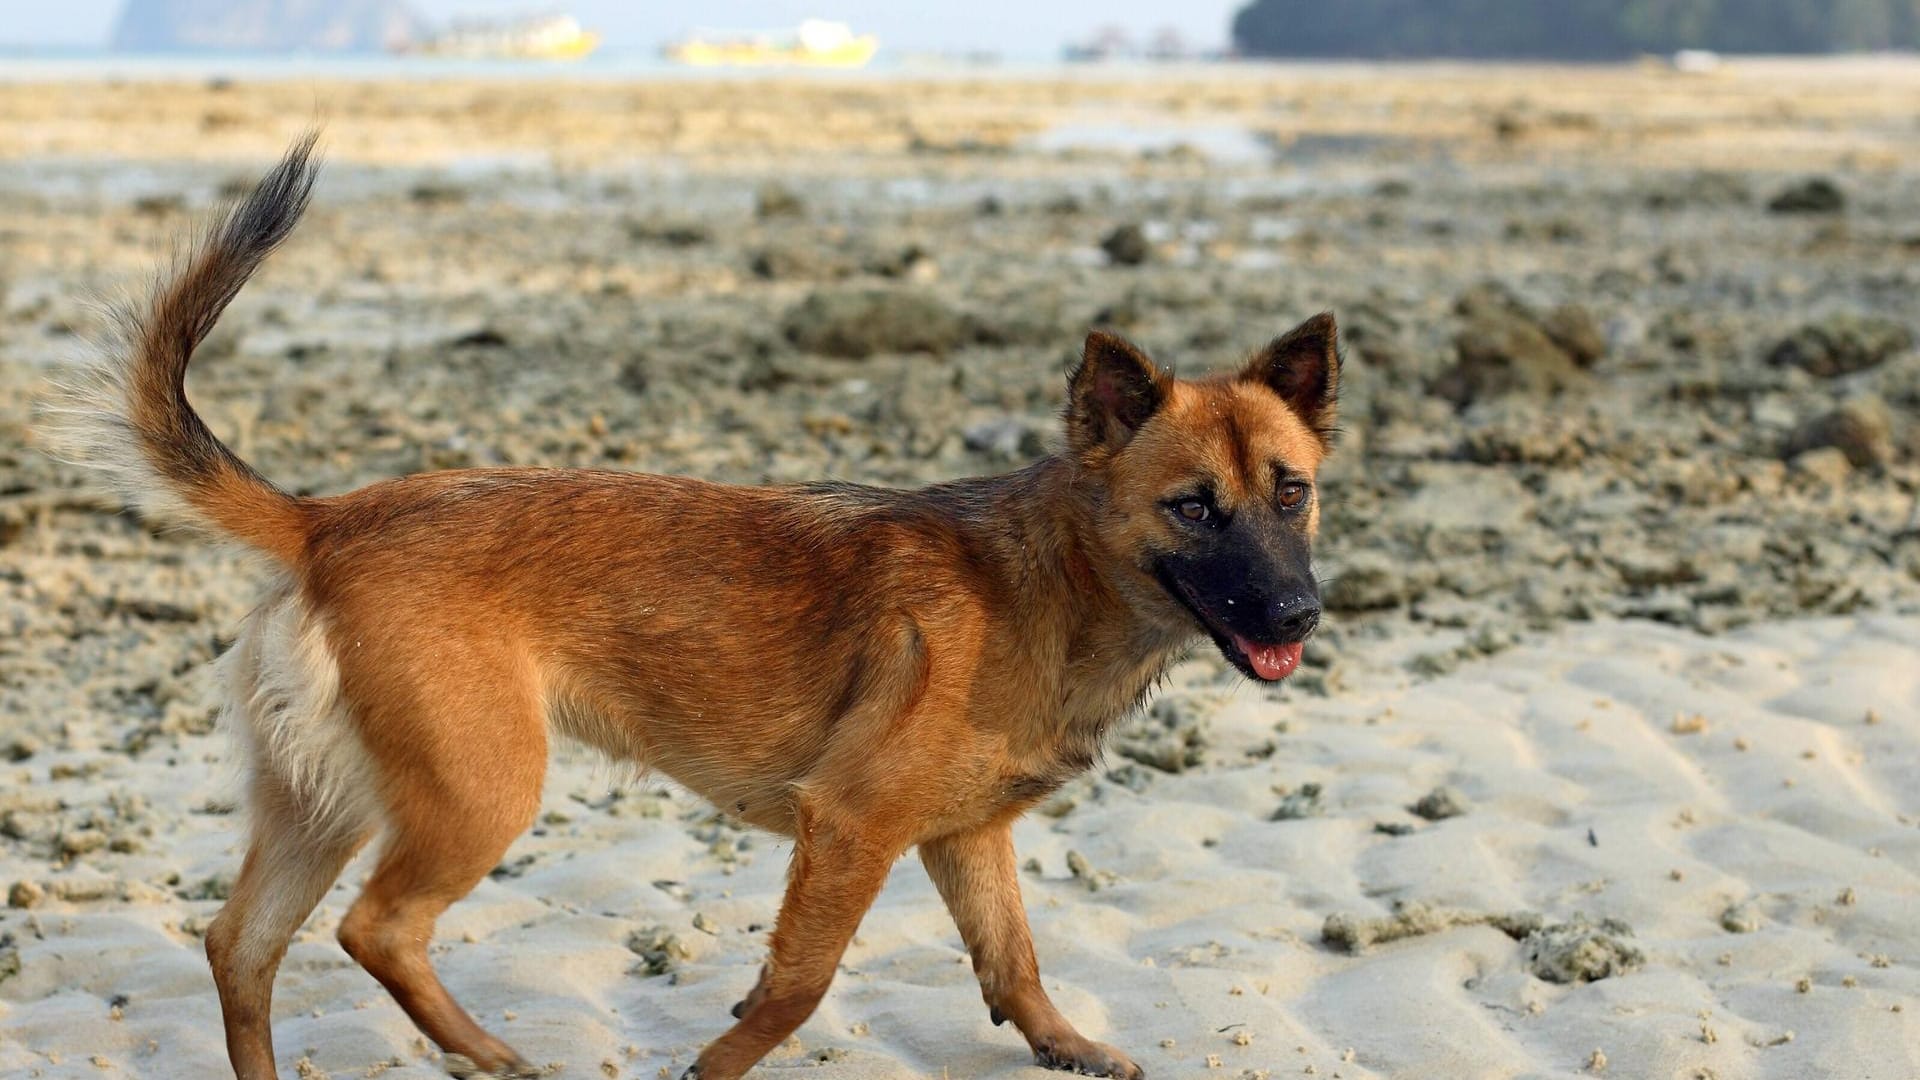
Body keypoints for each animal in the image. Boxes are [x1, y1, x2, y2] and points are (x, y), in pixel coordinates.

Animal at [41, 136, 1336, 1076]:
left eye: (1293, 491)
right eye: (1191, 508)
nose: (1297, 616)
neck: (1052, 574)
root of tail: (327, 521)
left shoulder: (966, 839)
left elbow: (1012, 962)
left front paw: (1066, 1046)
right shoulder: (850, 829)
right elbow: (797, 987)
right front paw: (717, 1065)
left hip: (320, 804)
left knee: (242, 946)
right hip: (480, 791)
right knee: (377, 930)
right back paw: (489, 1053)